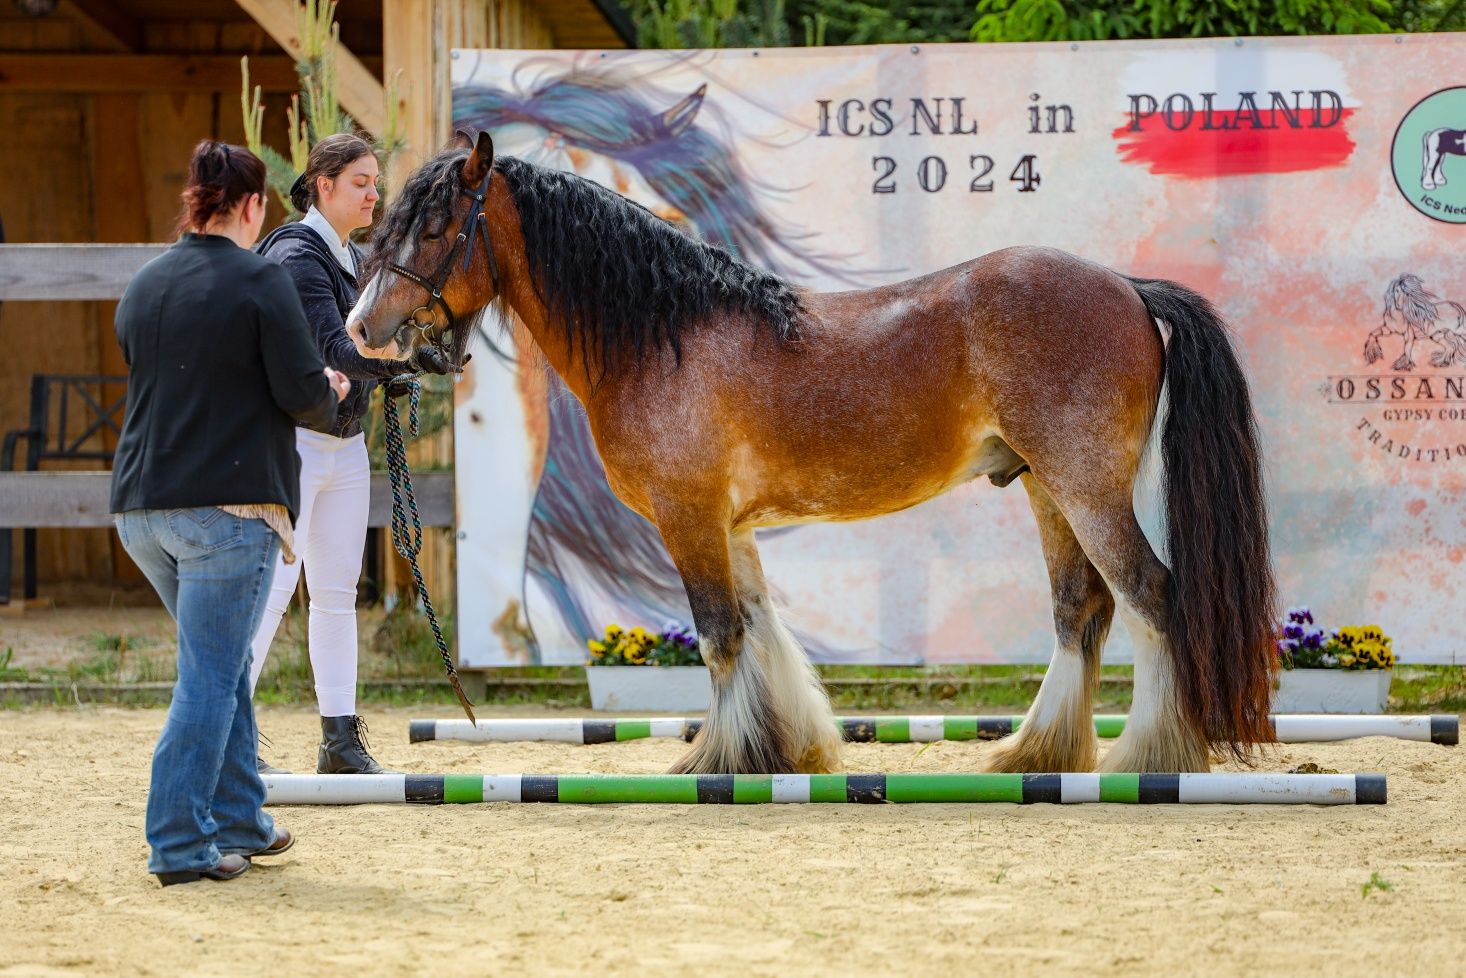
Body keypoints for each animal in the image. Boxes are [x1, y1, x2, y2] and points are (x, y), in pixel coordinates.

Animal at [348, 131, 1278, 774]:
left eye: (435, 226)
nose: (363, 326)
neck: (662, 336)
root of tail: (1127, 288)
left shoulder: (689, 519)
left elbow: (721, 637)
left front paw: (715, 760)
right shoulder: (730, 527)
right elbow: (764, 633)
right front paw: (784, 750)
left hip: (1086, 490)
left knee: (1153, 597)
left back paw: (1149, 757)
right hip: (1049, 491)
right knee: (1081, 611)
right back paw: (1035, 755)